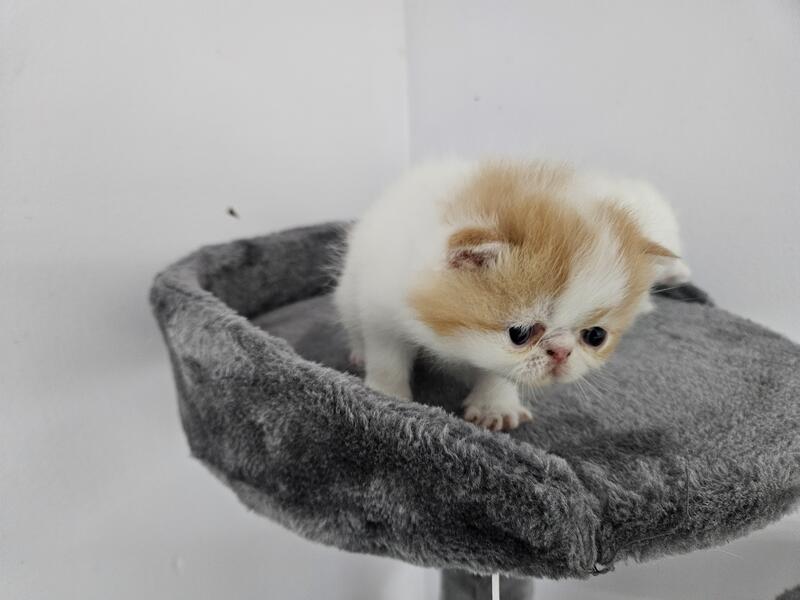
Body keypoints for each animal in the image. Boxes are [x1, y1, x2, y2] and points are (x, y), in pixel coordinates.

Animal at [334, 159, 690, 431]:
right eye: (520, 333)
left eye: (596, 336)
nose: (562, 352)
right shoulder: (380, 304)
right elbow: (387, 354)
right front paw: (387, 394)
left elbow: (499, 371)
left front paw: (495, 407)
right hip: (348, 291)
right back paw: (358, 352)